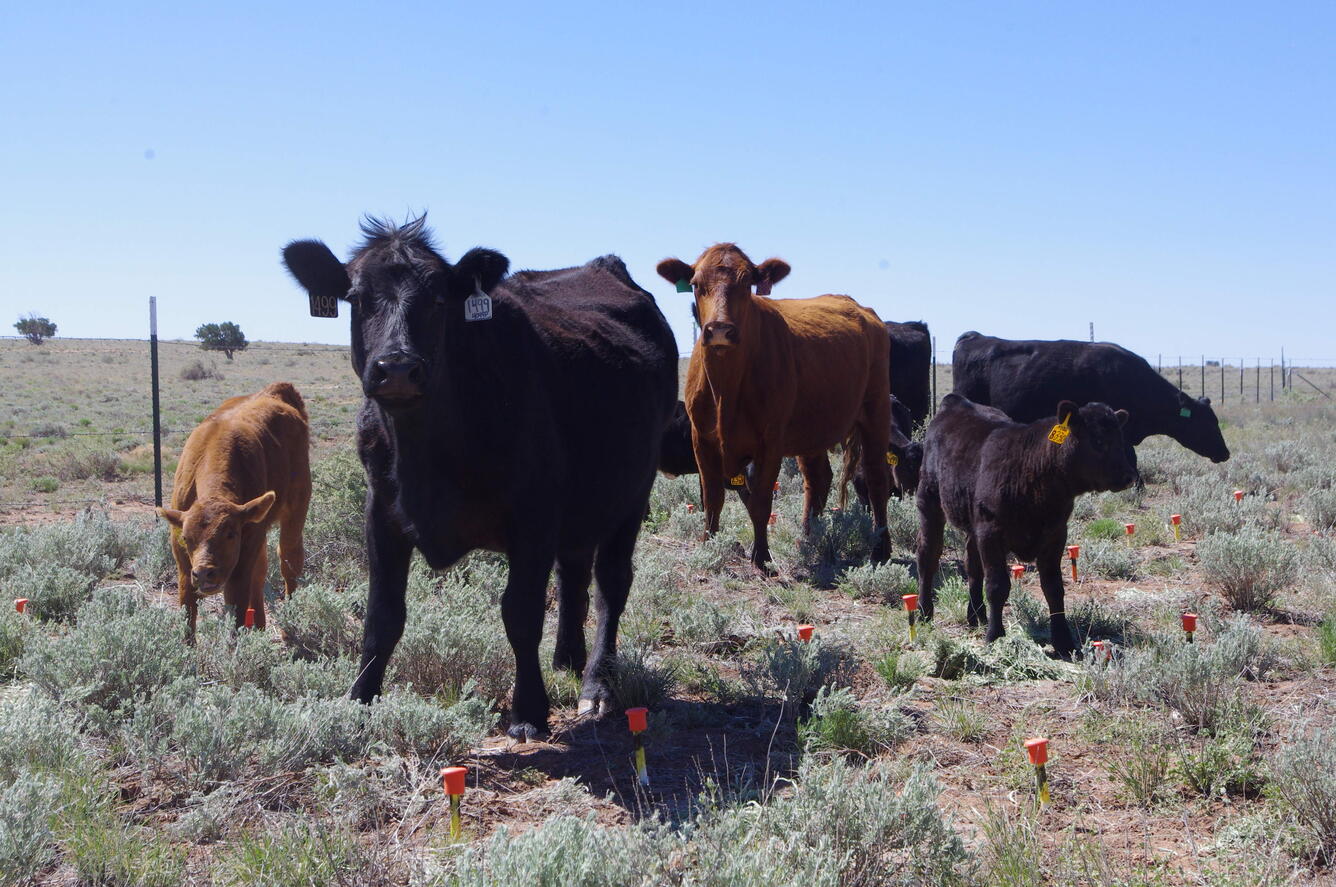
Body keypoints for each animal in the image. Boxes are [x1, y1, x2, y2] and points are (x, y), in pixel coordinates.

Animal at [158, 379, 309, 630]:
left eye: (230, 534)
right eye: (186, 538)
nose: (204, 573)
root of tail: (277, 391)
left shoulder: (243, 553)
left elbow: (236, 608)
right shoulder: (184, 564)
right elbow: (188, 611)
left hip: (297, 507)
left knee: (289, 559)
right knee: (260, 573)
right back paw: (259, 626)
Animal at [283, 217, 678, 737]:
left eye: (438, 299)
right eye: (357, 297)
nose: (398, 369)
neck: (426, 452)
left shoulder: (534, 513)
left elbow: (521, 612)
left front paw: (528, 711)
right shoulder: (381, 512)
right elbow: (382, 615)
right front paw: (359, 700)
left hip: (632, 491)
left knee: (611, 583)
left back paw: (597, 685)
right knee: (572, 570)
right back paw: (567, 659)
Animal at [654, 240, 892, 569]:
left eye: (747, 284)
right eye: (696, 284)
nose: (720, 329)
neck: (726, 390)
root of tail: (864, 310)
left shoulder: (770, 442)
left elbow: (760, 501)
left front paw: (762, 558)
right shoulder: (701, 439)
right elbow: (712, 498)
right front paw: (708, 547)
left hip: (876, 410)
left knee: (876, 477)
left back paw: (881, 550)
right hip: (812, 429)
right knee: (818, 479)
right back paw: (807, 539)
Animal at [919, 395, 1138, 657]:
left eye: (1120, 439)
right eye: (1098, 440)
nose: (1129, 476)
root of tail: (956, 401)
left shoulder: (1056, 534)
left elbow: (1054, 587)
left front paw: (1064, 642)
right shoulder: (991, 532)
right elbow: (997, 585)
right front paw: (995, 637)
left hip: (973, 524)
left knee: (972, 564)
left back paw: (976, 616)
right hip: (930, 501)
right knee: (928, 557)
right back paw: (924, 613)